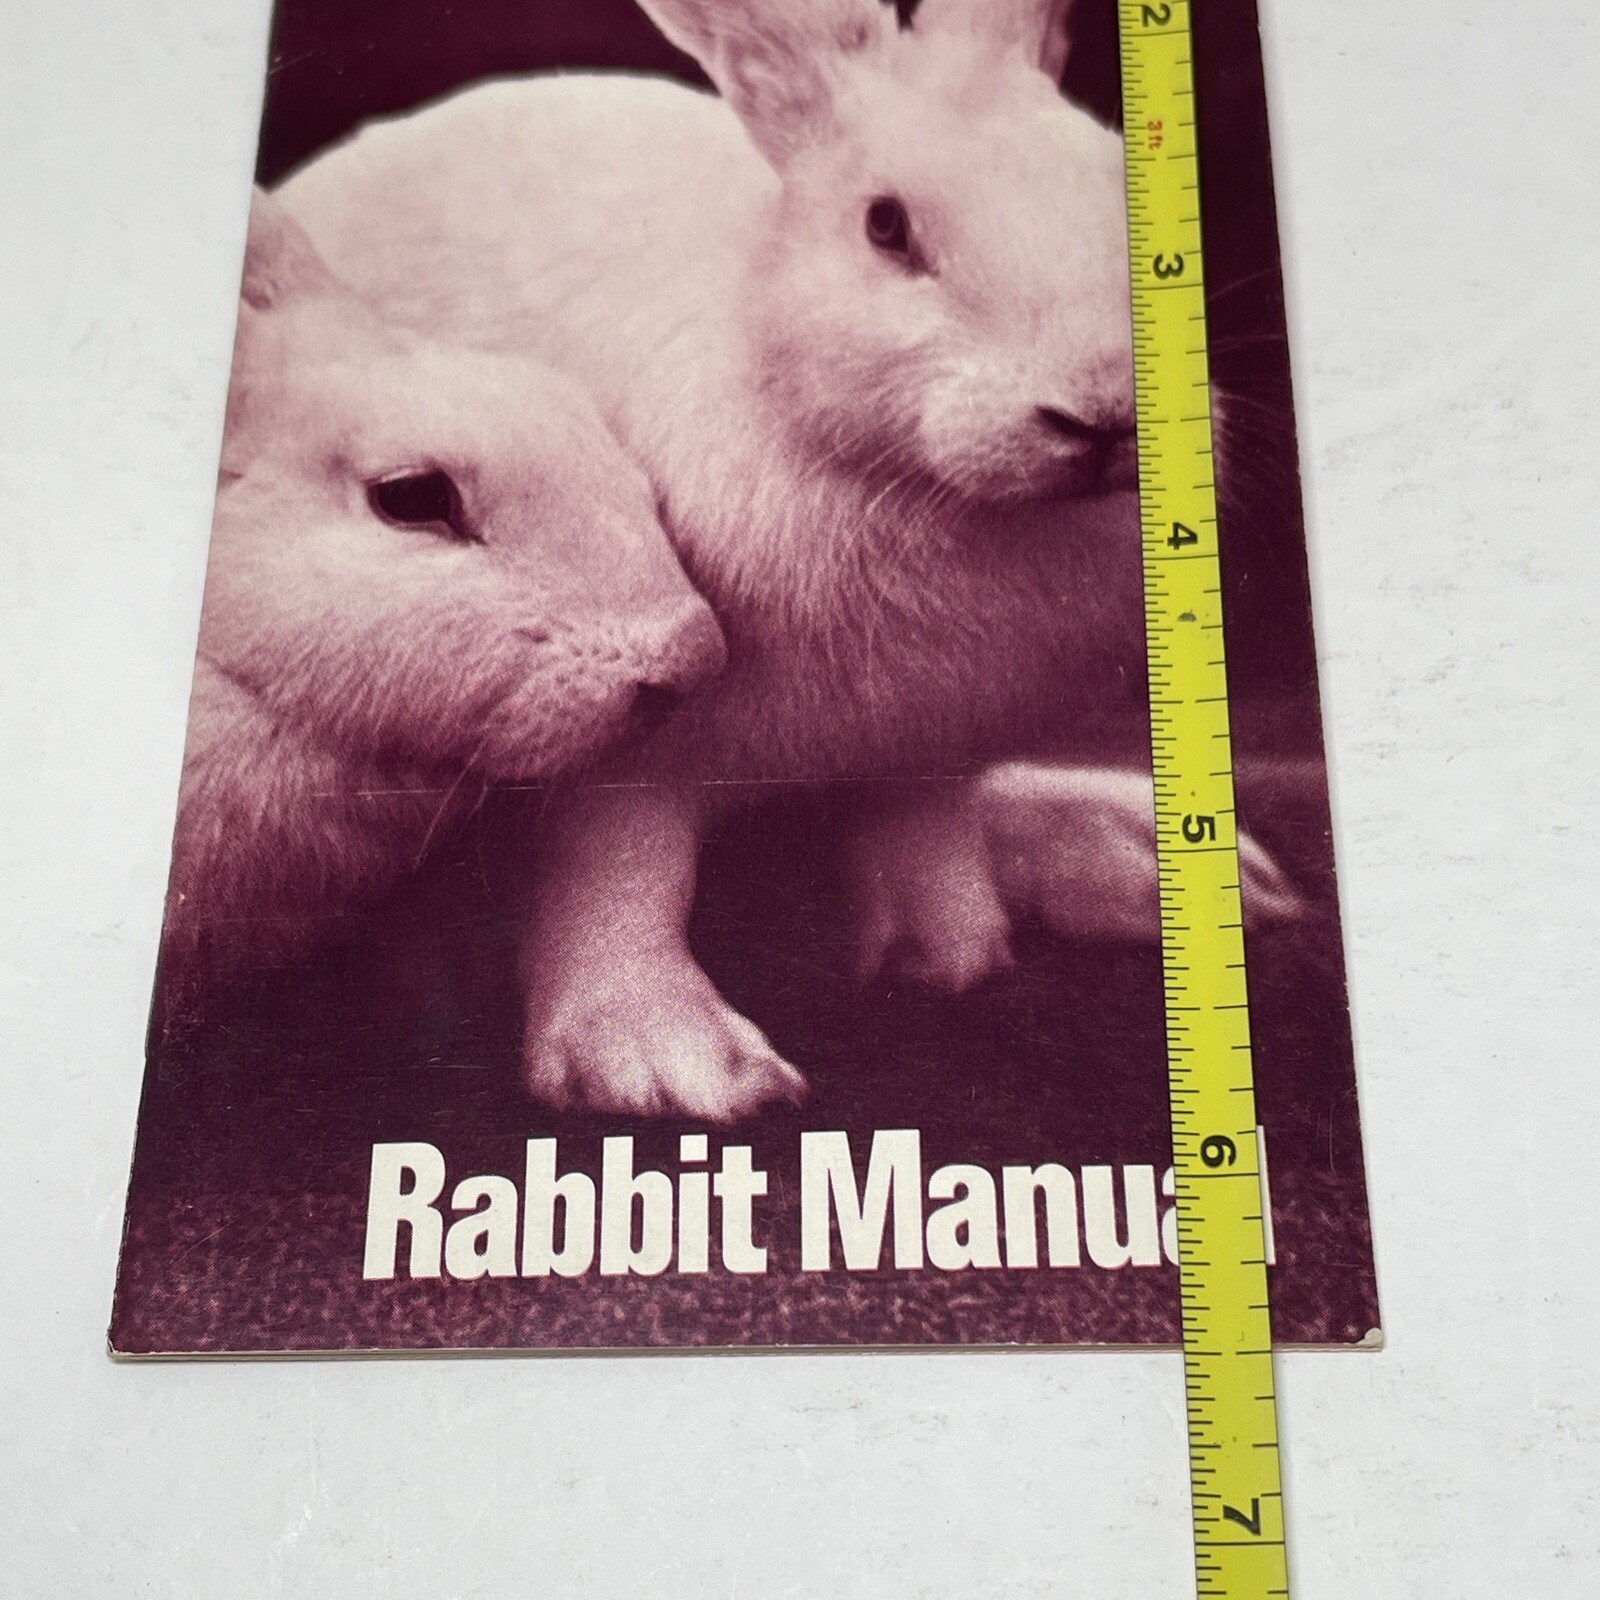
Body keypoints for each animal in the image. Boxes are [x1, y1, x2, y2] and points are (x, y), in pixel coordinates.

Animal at [279, 0, 1287, 1119]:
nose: (1101, 413)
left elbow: (925, 832)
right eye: (886, 227)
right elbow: (621, 880)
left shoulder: (933, 735)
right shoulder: (621, 752)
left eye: (1122, 195)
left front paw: (948, 957)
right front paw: (674, 1062)